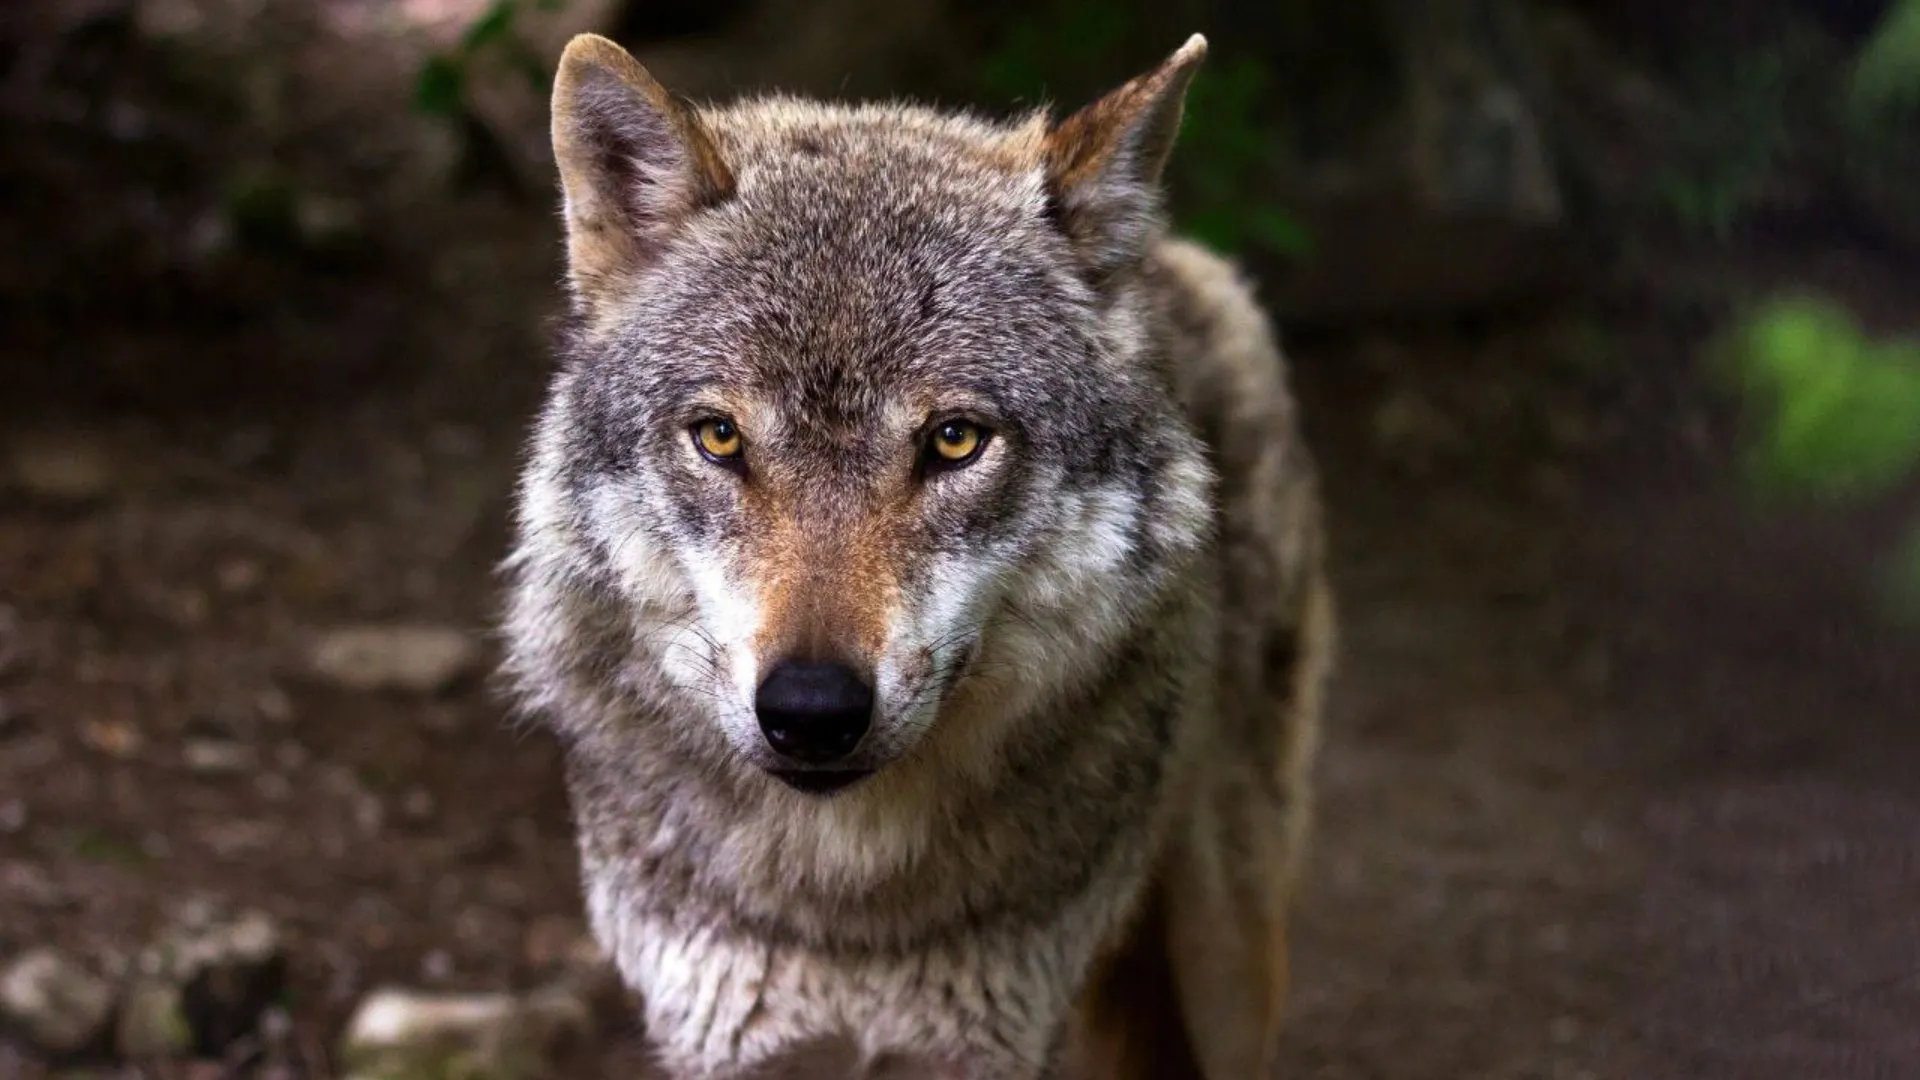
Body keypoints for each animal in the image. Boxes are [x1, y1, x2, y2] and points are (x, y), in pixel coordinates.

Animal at [499, 27, 1336, 1076]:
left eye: (954, 441)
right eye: (720, 437)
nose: (811, 711)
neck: (848, 912)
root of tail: (1175, 259)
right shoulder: (722, 1041)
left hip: (1227, 959)